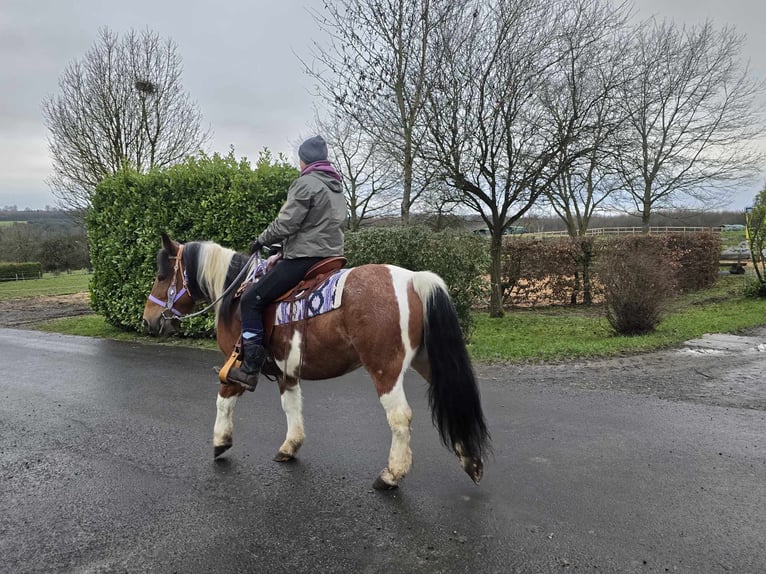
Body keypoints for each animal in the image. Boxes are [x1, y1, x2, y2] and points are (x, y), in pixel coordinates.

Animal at [144, 234, 492, 490]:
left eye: (161, 274)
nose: (149, 320)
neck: (236, 295)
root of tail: (413, 279)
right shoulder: (286, 371)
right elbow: (291, 406)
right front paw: (290, 446)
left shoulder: (237, 366)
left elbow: (223, 401)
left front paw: (220, 442)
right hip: (427, 362)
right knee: (456, 401)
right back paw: (471, 462)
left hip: (385, 369)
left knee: (400, 418)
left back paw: (391, 475)